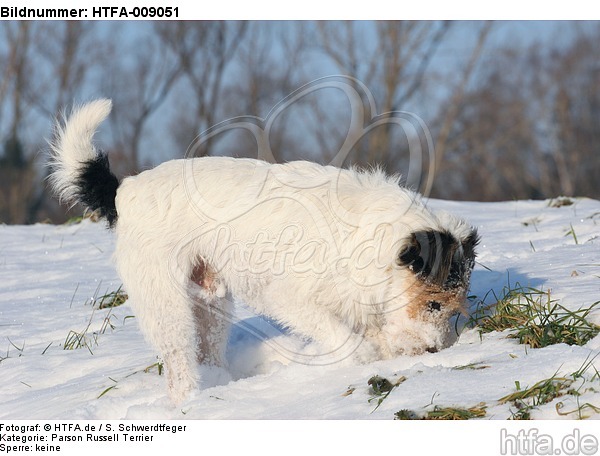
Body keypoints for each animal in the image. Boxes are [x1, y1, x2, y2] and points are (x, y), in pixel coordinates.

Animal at [48, 100, 478, 402]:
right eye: (434, 304)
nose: (433, 349)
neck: (373, 240)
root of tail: (125, 190)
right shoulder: (292, 298)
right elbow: (351, 342)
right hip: (167, 306)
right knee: (179, 363)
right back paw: (188, 403)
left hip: (211, 301)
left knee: (209, 350)